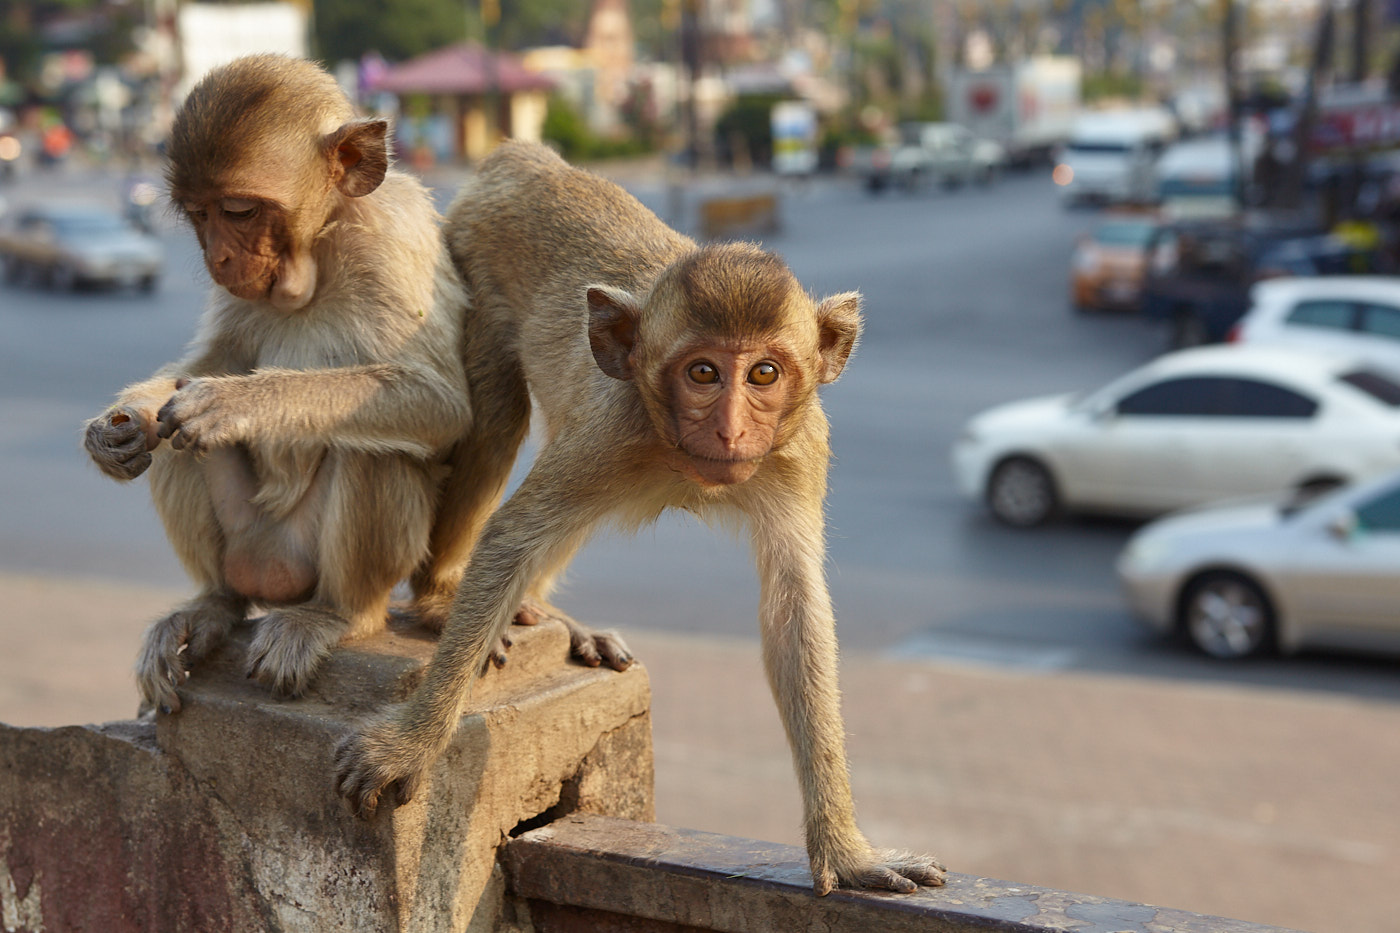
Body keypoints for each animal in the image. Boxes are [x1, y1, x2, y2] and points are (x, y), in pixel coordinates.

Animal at [84, 56, 484, 711]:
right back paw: (212, 605)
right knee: (174, 443)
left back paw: (336, 616)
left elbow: (438, 403)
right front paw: (113, 431)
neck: (321, 246)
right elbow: (197, 370)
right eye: (199, 214)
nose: (219, 260)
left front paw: (230, 403)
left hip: (315, 557)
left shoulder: (392, 236)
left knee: (373, 450)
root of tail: (271, 573)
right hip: (247, 540)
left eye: (240, 210)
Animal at [333, 141, 946, 890]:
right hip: (469, 263)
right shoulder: (611, 431)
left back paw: (547, 613)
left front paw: (847, 853)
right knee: (497, 417)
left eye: (764, 374)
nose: (731, 429)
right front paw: (413, 744)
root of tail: (529, 160)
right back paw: (440, 597)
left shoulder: (800, 451)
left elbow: (793, 605)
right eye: (703, 373)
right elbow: (510, 537)